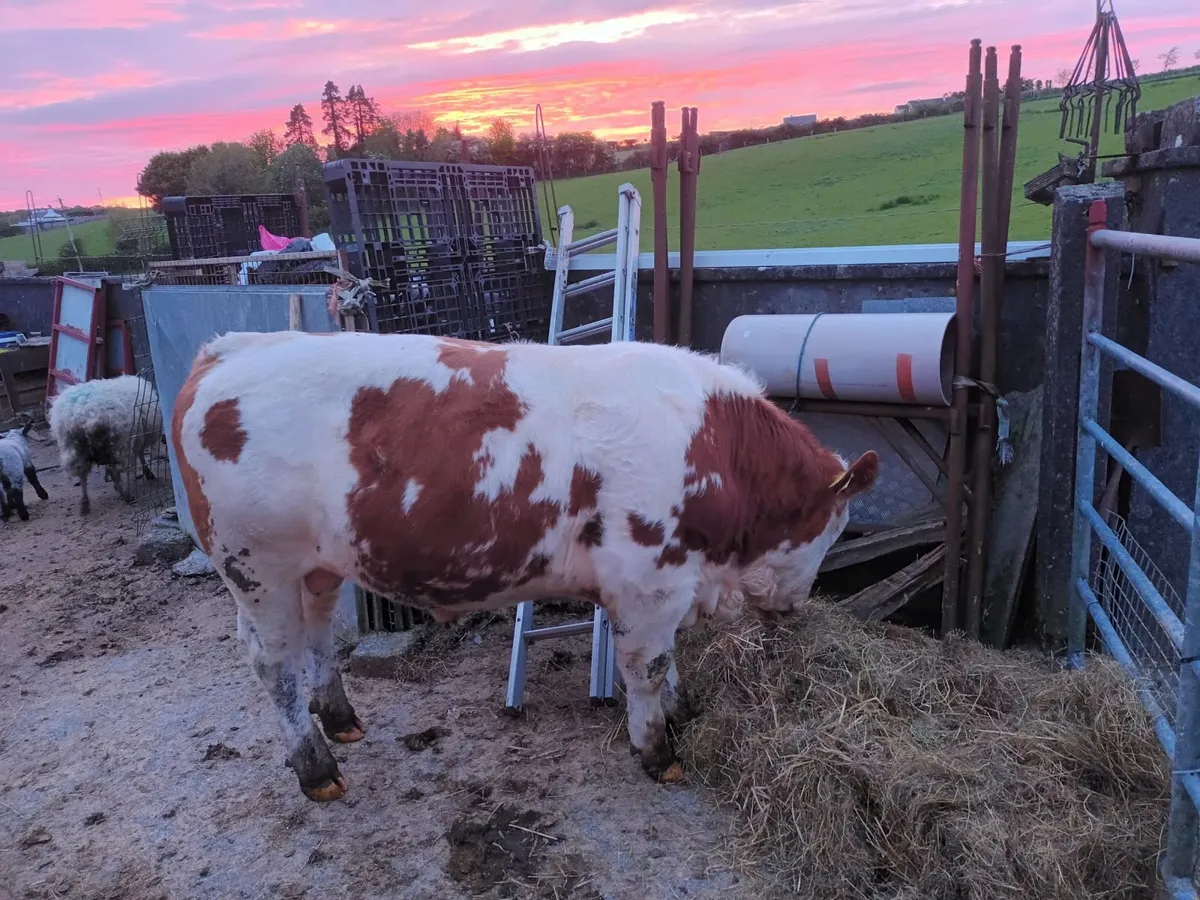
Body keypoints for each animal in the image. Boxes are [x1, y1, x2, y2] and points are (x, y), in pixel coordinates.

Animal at [171, 329, 879, 802]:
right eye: (835, 528)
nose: (797, 606)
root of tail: (229, 350)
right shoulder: (649, 580)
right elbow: (647, 668)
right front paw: (657, 751)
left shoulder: (668, 586)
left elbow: (667, 662)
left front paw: (681, 712)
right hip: (256, 568)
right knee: (274, 665)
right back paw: (317, 768)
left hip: (317, 565)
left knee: (317, 635)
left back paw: (341, 719)